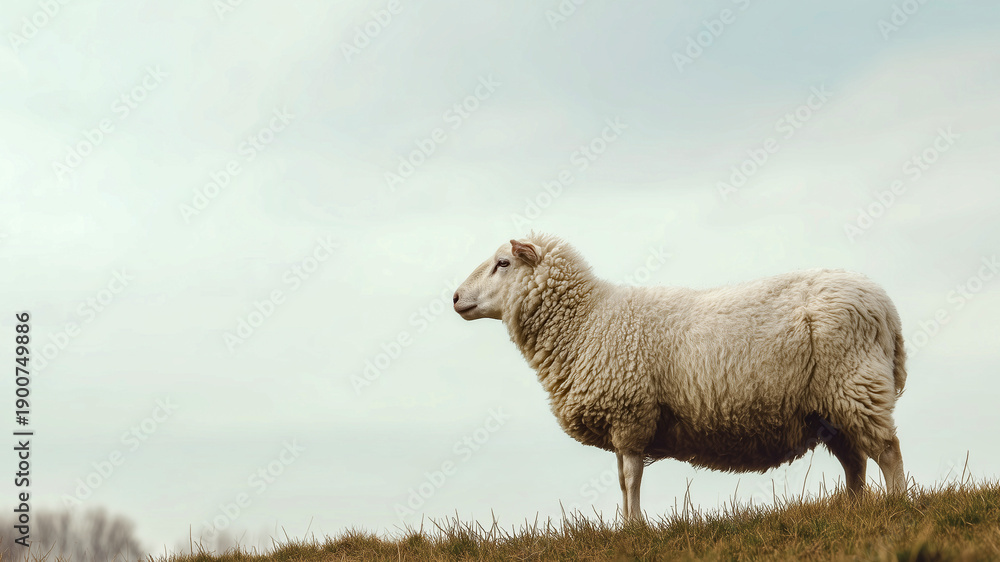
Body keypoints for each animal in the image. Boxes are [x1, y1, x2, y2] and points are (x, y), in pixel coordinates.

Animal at [452, 233, 907, 520]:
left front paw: (633, 527)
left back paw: (898, 504)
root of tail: (885, 306)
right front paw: (626, 524)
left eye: (503, 263)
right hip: (832, 405)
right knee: (855, 462)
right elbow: (622, 480)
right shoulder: (622, 423)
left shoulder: (630, 414)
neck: (587, 322)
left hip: (854, 383)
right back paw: (853, 510)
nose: (455, 297)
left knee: (887, 451)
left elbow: (630, 478)